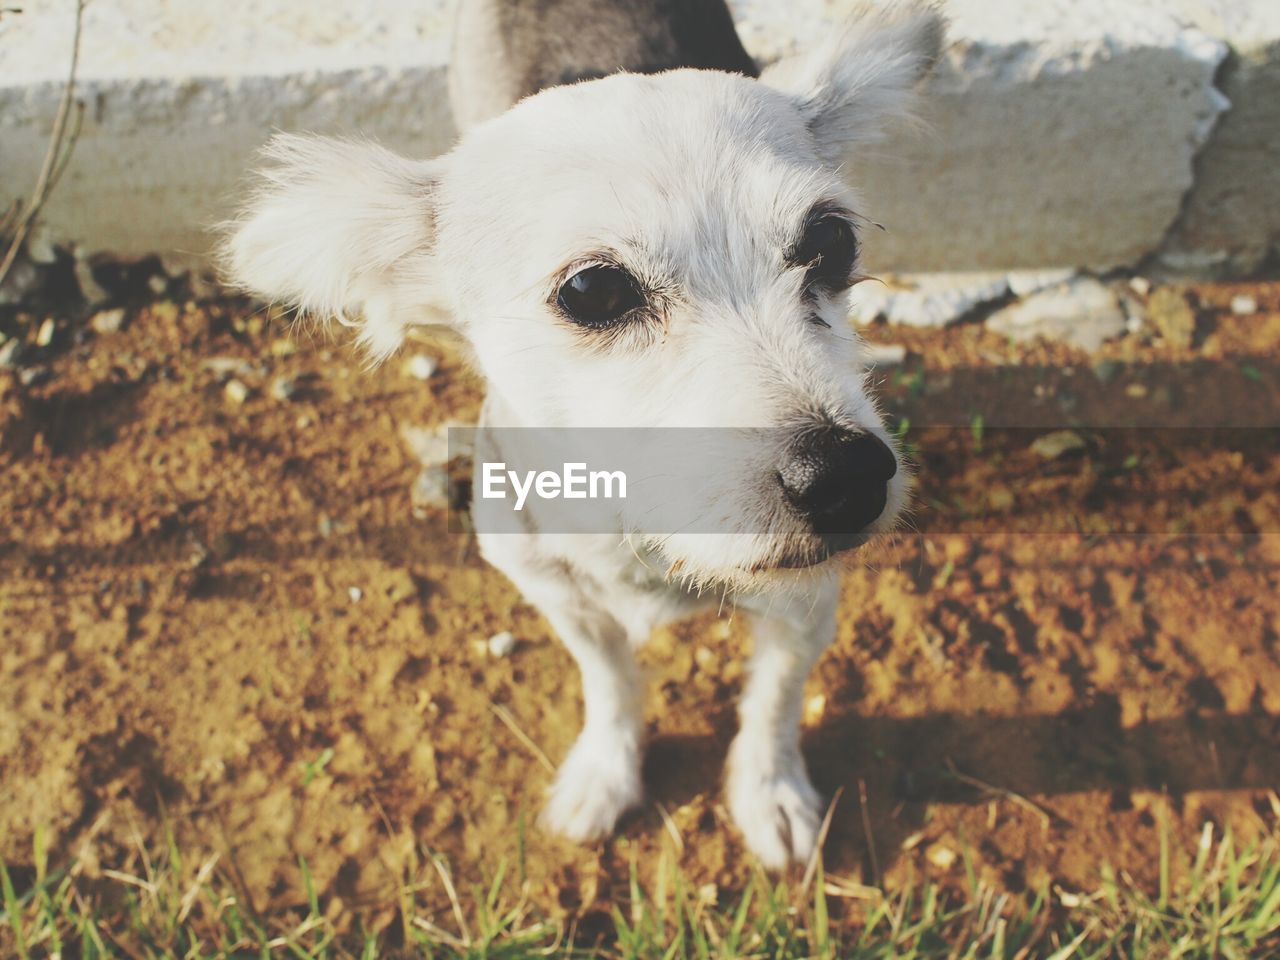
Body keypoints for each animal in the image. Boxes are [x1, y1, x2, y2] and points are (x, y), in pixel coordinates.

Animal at [227, 0, 942, 870]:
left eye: (832, 244)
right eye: (594, 290)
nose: (847, 476)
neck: (645, 540)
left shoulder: (805, 606)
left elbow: (773, 702)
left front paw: (768, 790)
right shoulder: (560, 597)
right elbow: (612, 684)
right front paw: (607, 769)